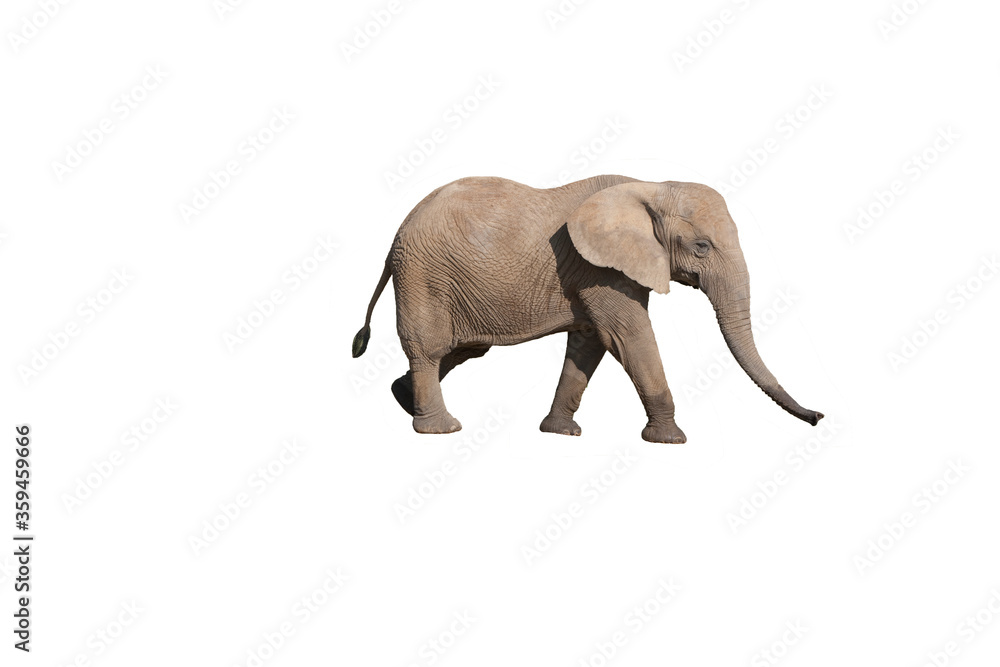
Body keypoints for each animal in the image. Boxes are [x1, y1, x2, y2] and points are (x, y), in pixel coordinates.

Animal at [352, 175, 823, 443]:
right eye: (702, 247)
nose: (818, 417)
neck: (651, 187)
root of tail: (396, 234)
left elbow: (590, 343)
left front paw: (561, 434)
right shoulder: (600, 268)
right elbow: (629, 335)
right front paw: (670, 439)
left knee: (464, 347)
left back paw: (402, 398)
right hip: (423, 273)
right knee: (431, 347)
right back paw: (440, 429)